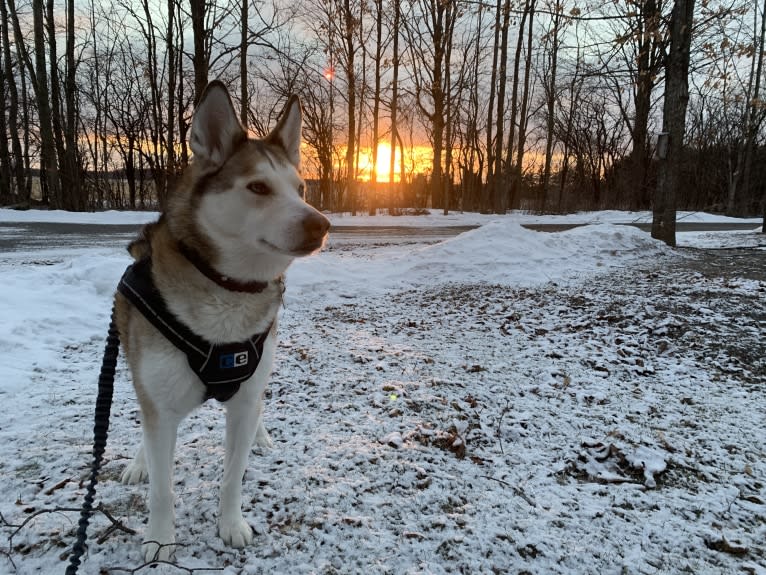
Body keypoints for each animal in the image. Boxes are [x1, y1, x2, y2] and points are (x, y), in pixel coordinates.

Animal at [115, 82, 332, 564]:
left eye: (301, 188)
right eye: (258, 186)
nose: (322, 224)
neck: (228, 290)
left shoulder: (246, 394)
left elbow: (234, 474)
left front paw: (231, 525)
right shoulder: (160, 402)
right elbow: (162, 486)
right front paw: (160, 539)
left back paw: (261, 435)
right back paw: (138, 462)